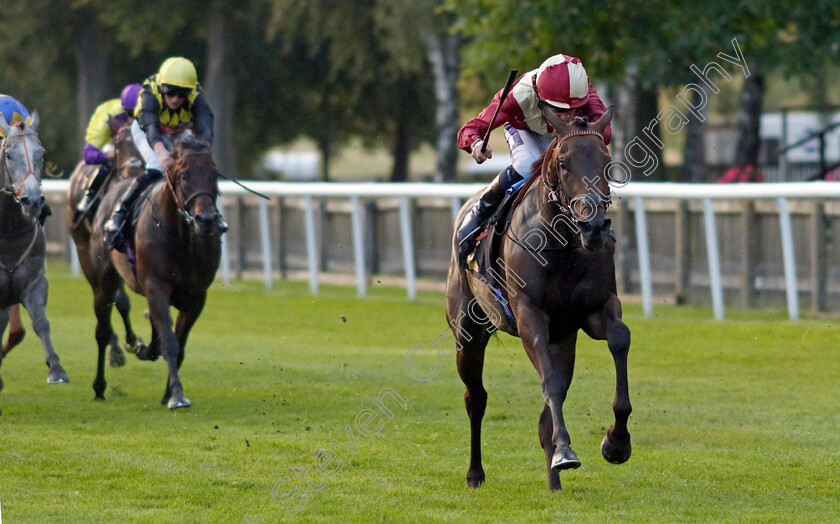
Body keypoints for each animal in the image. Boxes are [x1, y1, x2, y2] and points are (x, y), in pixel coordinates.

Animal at [84, 137, 225, 408]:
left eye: (215, 174)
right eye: (183, 176)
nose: (206, 220)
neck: (182, 237)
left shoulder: (196, 297)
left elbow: (178, 344)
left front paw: (168, 392)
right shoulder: (156, 286)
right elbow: (169, 343)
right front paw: (177, 396)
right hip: (104, 281)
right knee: (102, 330)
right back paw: (99, 386)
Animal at [446, 107, 632, 492]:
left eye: (607, 161)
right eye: (563, 163)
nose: (594, 227)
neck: (562, 244)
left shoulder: (595, 310)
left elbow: (619, 339)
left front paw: (617, 442)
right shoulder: (529, 315)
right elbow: (551, 384)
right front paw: (566, 451)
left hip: (563, 340)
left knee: (546, 409)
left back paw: (554, 482)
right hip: (467, 333)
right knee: (476, 399)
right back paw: (475, 473)